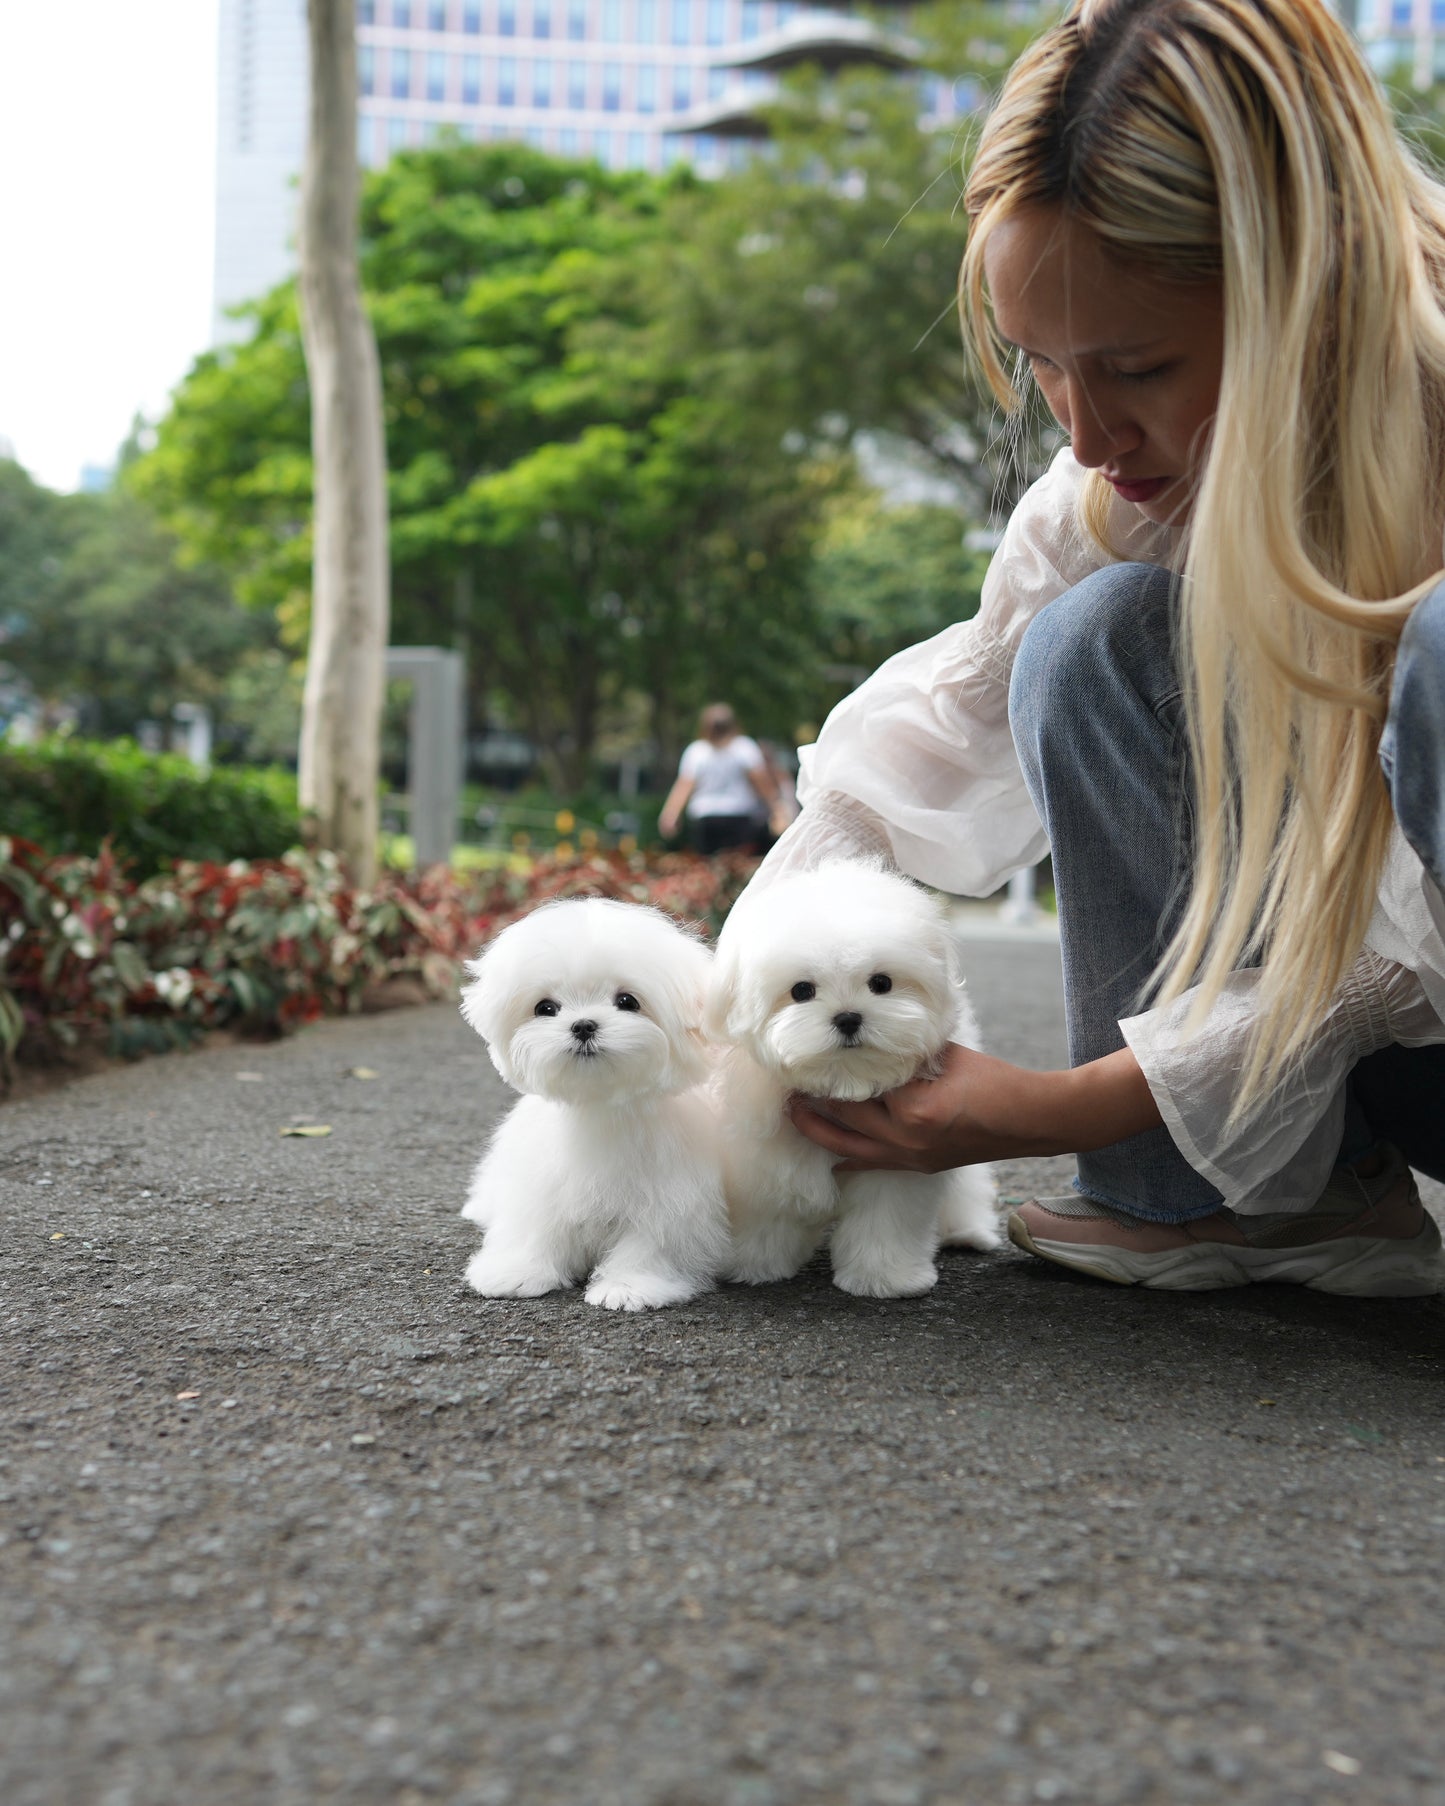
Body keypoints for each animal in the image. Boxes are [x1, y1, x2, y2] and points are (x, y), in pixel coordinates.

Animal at [456, 899, 729, 1314]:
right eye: (545, 1008)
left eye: (627, 1002)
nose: (583, 1025)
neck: (600, 1104)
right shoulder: (541, 1182)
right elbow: (534, 1225)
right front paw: (516, 1271)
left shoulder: (671, 1195)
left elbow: (651, 1240)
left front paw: (631, 1286)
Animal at [704, 859, 997, 1300]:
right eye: (801, 990)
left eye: (881, 983)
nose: (847, 1017)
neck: (842, 1080)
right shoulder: (763, 1157)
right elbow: (768, 1210)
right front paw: (754, 1264)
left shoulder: (896, 1162)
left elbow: (884, 1219)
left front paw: (884, 1278)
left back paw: (968, 1231)